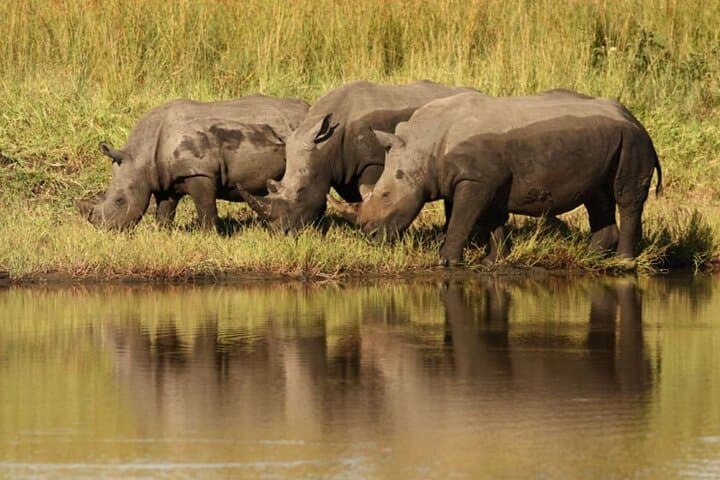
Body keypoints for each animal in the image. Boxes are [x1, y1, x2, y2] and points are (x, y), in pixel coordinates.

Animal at [76, 95, 309, 230]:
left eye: (119, 201)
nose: (103, 230)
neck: (140, 156)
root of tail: (308, 107)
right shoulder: (164, 179)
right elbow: (165, 211)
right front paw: (162, 234)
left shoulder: (199, 171)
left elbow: (206, 208)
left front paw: (210, 236)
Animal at [238, 80, 473, 231]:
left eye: (301, 191)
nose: (281, 232)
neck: (327, 145)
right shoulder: (341, 166)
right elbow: (355, 196)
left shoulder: (374, 160)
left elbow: (369, 190)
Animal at [330, 90, 662, 264]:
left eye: (386, 196)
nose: (370, 235)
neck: (424, 144)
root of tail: (635, 119)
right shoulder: (487, 180)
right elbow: (493, 219)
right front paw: (494, 261)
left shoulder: (475, 180)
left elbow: (463, 218)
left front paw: (447, 261)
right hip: (609, 140)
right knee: (597, 195)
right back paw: (589, 258)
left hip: (634, 142)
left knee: (625, 196)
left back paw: (622, 262)